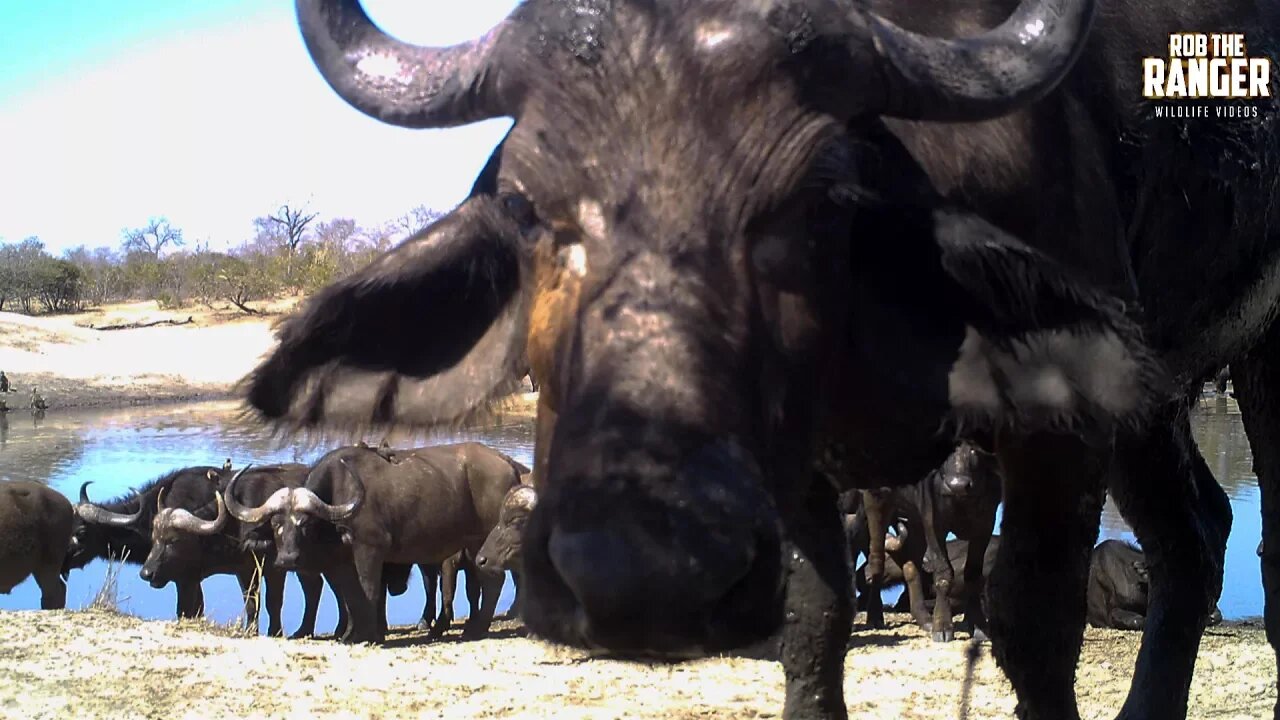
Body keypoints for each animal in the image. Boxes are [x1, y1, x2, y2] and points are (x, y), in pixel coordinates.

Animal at [224, 440, 519, 640]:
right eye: (276, 524)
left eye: (305, 524)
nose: (288, 559)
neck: (337, 500)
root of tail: (506, 463)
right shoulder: (340, 564)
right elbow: (350, 596)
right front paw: (353, 633)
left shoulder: (370, 550)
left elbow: (369, 591)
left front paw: (366, 635)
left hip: (483, 540)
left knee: (492, 581)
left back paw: (476, 628)